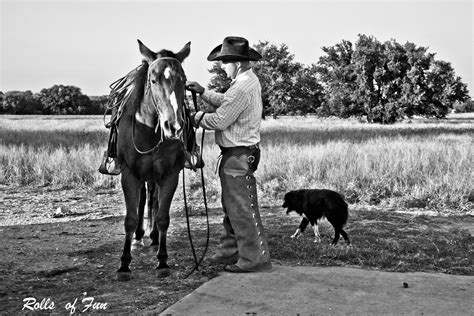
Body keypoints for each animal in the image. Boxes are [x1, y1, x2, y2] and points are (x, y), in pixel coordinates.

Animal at [115, 40, 192, 282]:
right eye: (153, 80)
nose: (174, 126)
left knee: (154, 199)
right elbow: (130, 218)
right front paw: (124, 264)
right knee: (142, 200)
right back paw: (139, 236)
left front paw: (162, 261)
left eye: (183, 80)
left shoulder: (169, 175)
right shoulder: (129, 175)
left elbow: (163, 217)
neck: (148, 128)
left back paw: (154, 236)